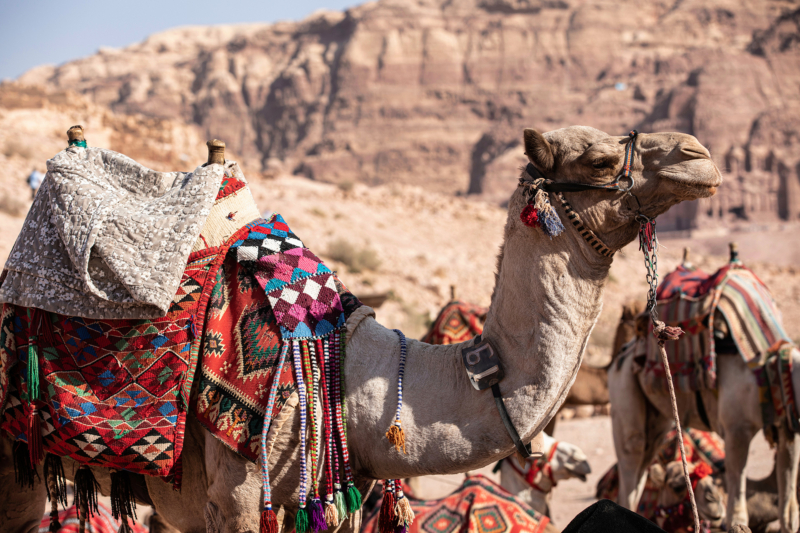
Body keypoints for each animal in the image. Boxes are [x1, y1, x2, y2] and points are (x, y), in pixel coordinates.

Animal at [609, 309, 800, 531]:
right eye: (677, 486)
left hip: (656, 420)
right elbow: (737, 511)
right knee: (633, 456)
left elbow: (789, 513)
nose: (712, 499)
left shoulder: (786, 426)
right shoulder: (736, 429)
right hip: (623, 388)